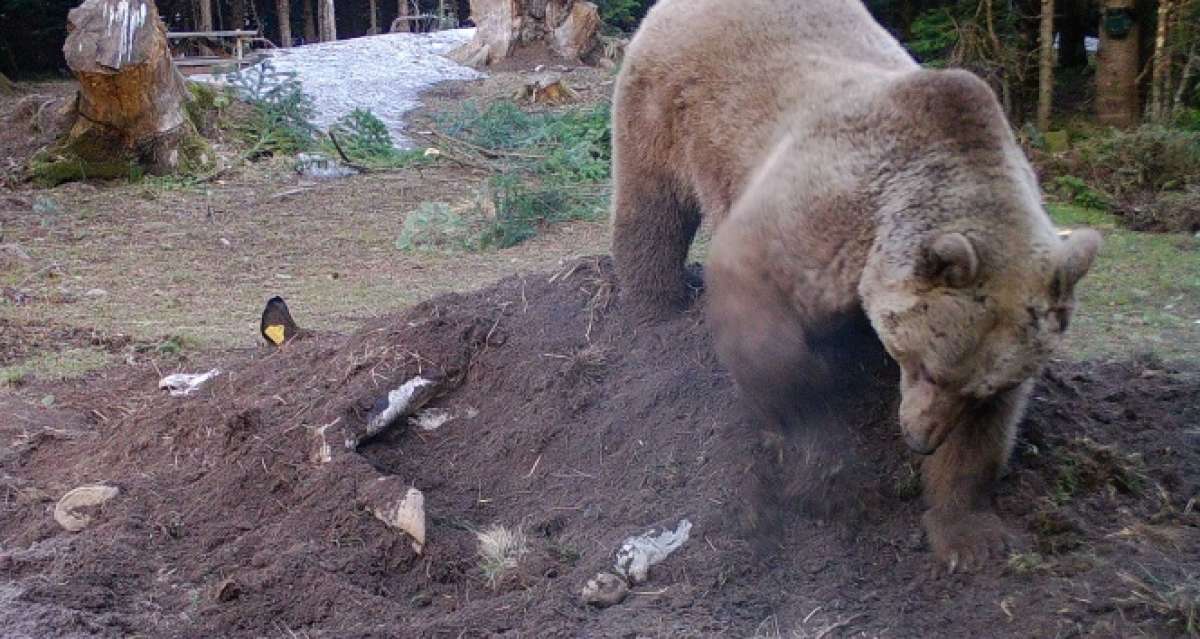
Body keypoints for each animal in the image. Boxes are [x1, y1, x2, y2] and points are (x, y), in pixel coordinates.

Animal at [614, 0, 1099, 569]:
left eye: (974, 386)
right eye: (926, 367)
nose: (919, 438)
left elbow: (985, 436)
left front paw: (968, 534)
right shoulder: (832, 213)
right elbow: (760, 304)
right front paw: (823, 469)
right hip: (668, 102)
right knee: (652, 207)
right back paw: (655, 302)